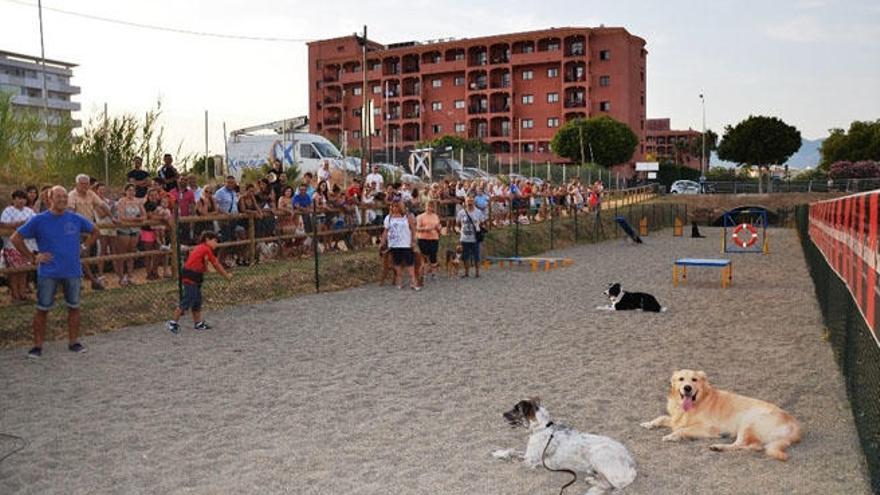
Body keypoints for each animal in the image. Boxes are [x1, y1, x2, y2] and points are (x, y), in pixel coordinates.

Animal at [492, 400, 636, 495]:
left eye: (516, 409)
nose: (502, 414)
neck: (542, 428)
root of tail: (632, 464)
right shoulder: (528, 455)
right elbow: (512, 450)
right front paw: (498, 452)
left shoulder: (529, 461)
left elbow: (512, 457)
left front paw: (500, 456)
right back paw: (591, 480)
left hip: (598, 455)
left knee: (611, 485)